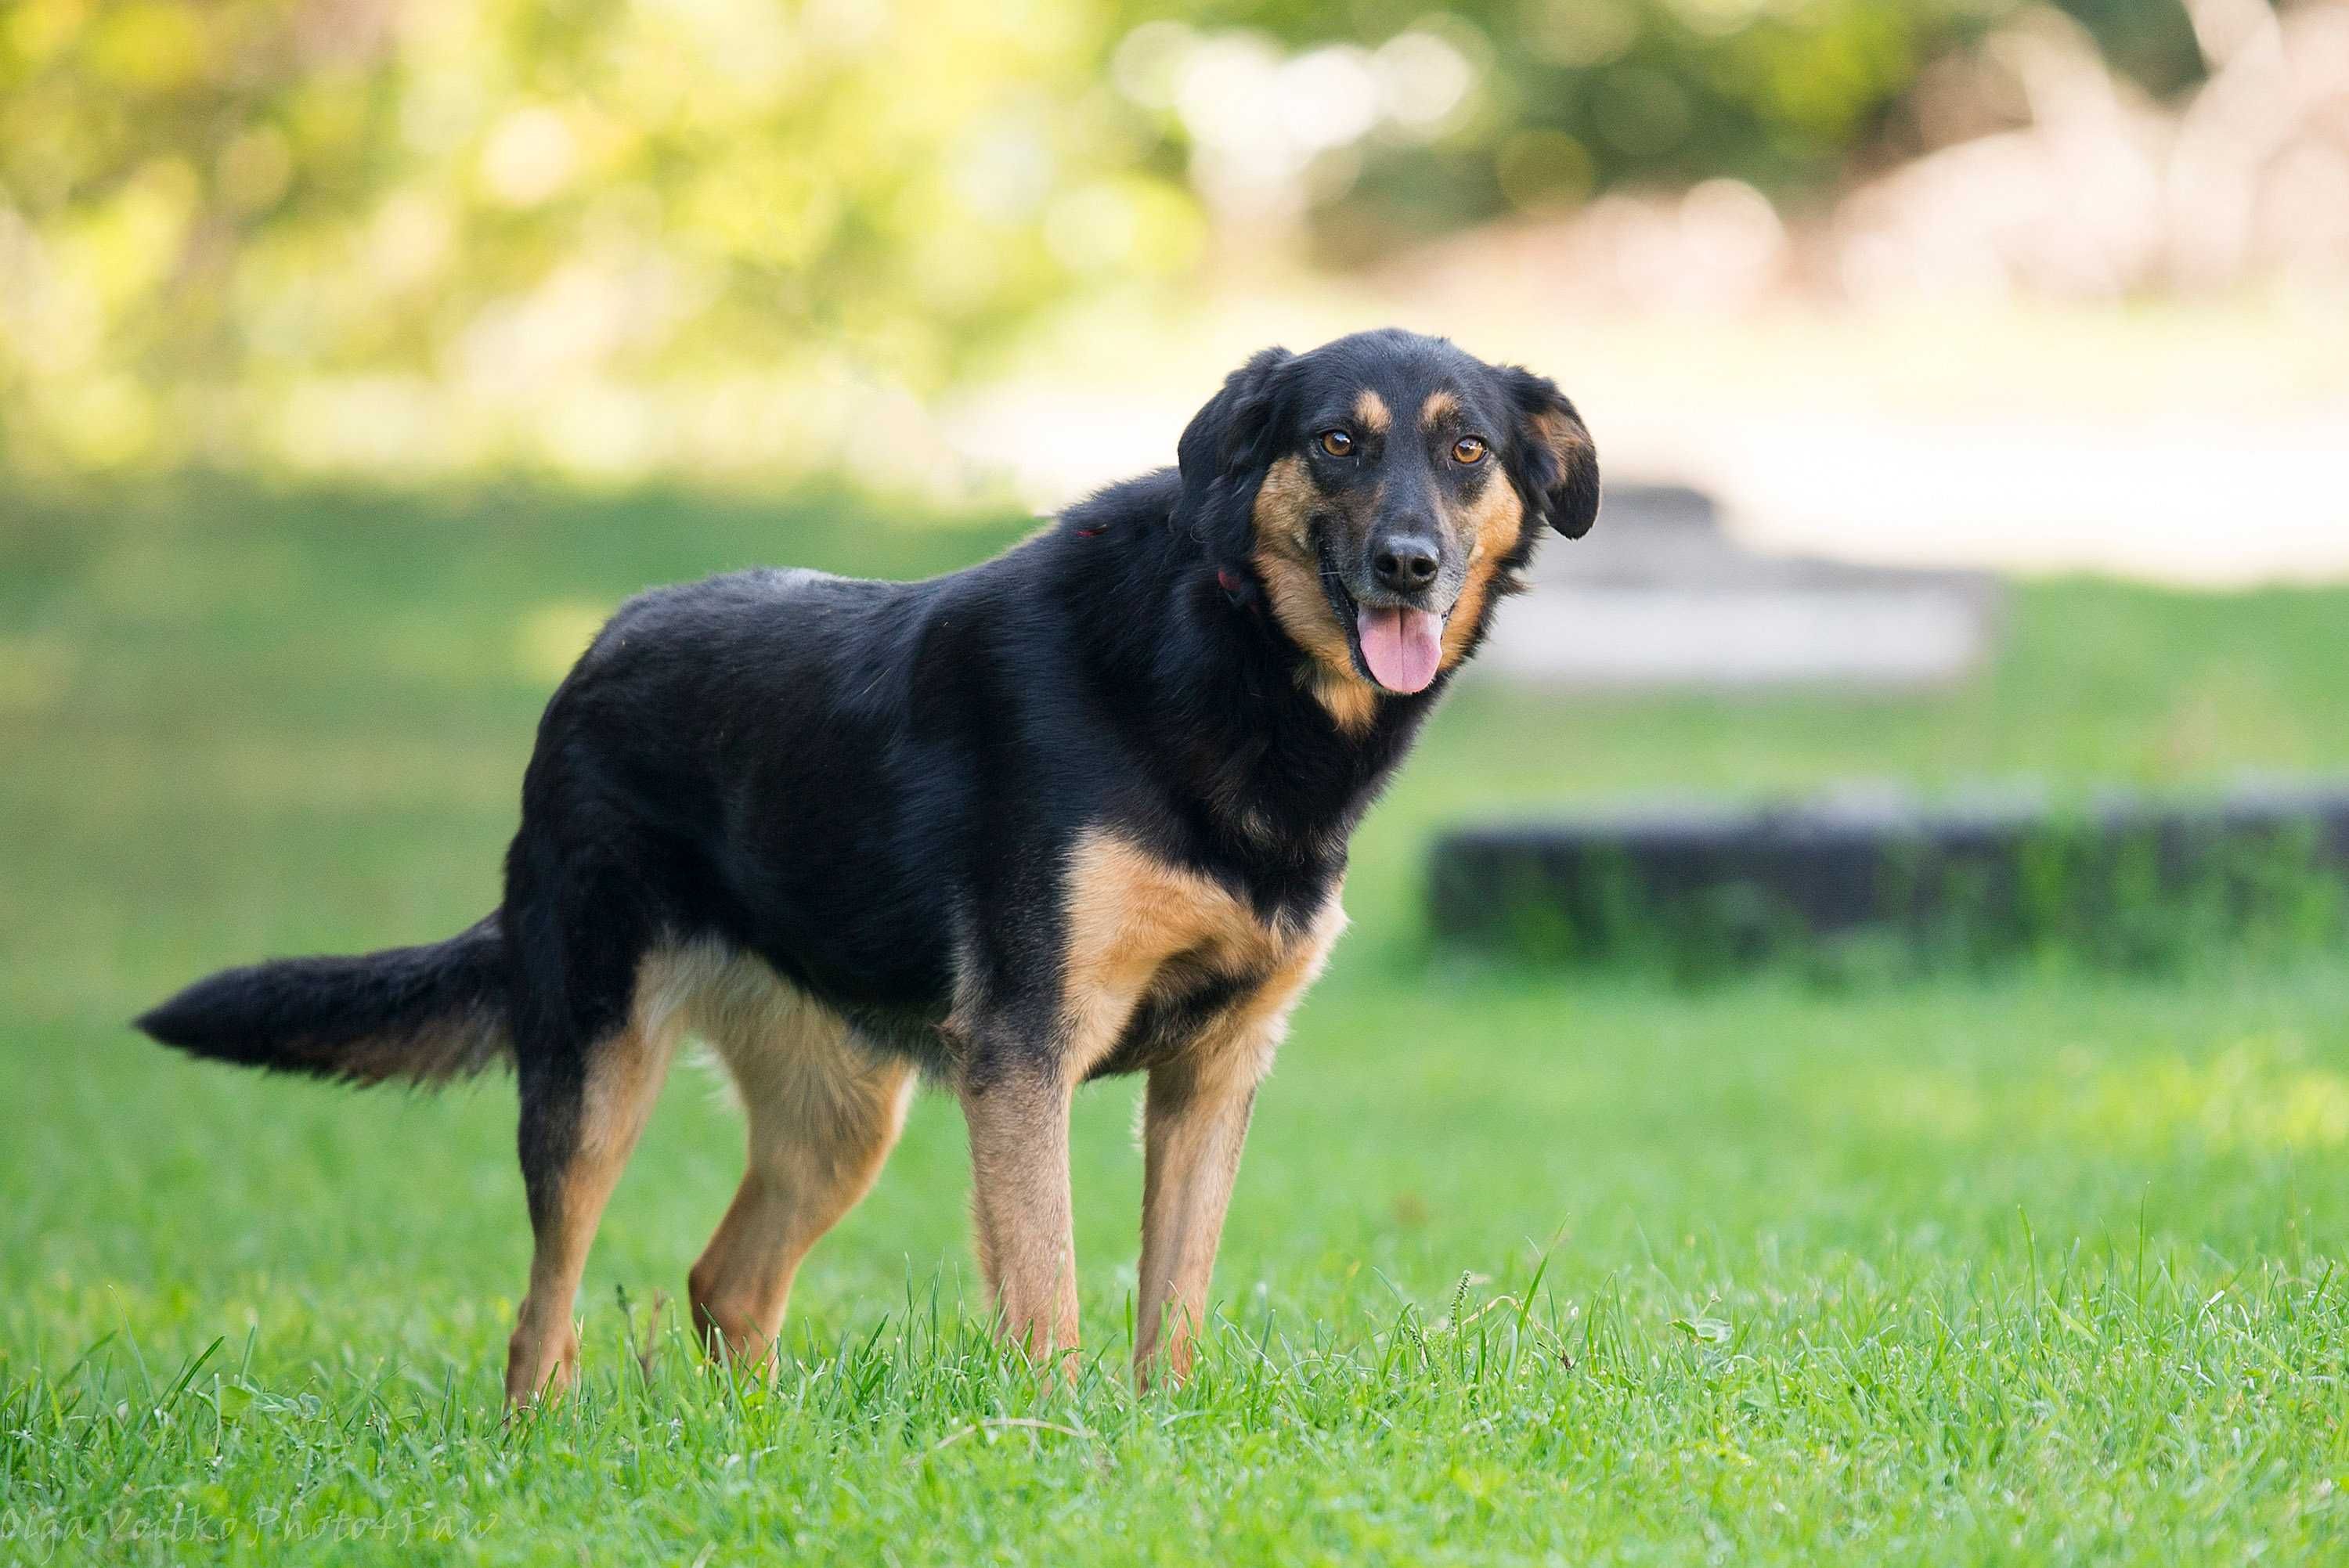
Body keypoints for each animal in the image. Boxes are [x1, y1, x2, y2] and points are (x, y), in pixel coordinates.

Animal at [142, 328, 1597, 1399]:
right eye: (1335, 443)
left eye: (1466, 449)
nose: (1407, 567)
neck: (1228, 653)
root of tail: (595, 651)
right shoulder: (1025, 1050)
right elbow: (1050, 1289)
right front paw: (1066, 1443)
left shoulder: (1213, 1069)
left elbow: (1171, 1305)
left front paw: (1158, 1432)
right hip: (596, 1064)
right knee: (542, 1305)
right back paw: (543, 1431)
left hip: (841, 1114)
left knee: (727, 1284)